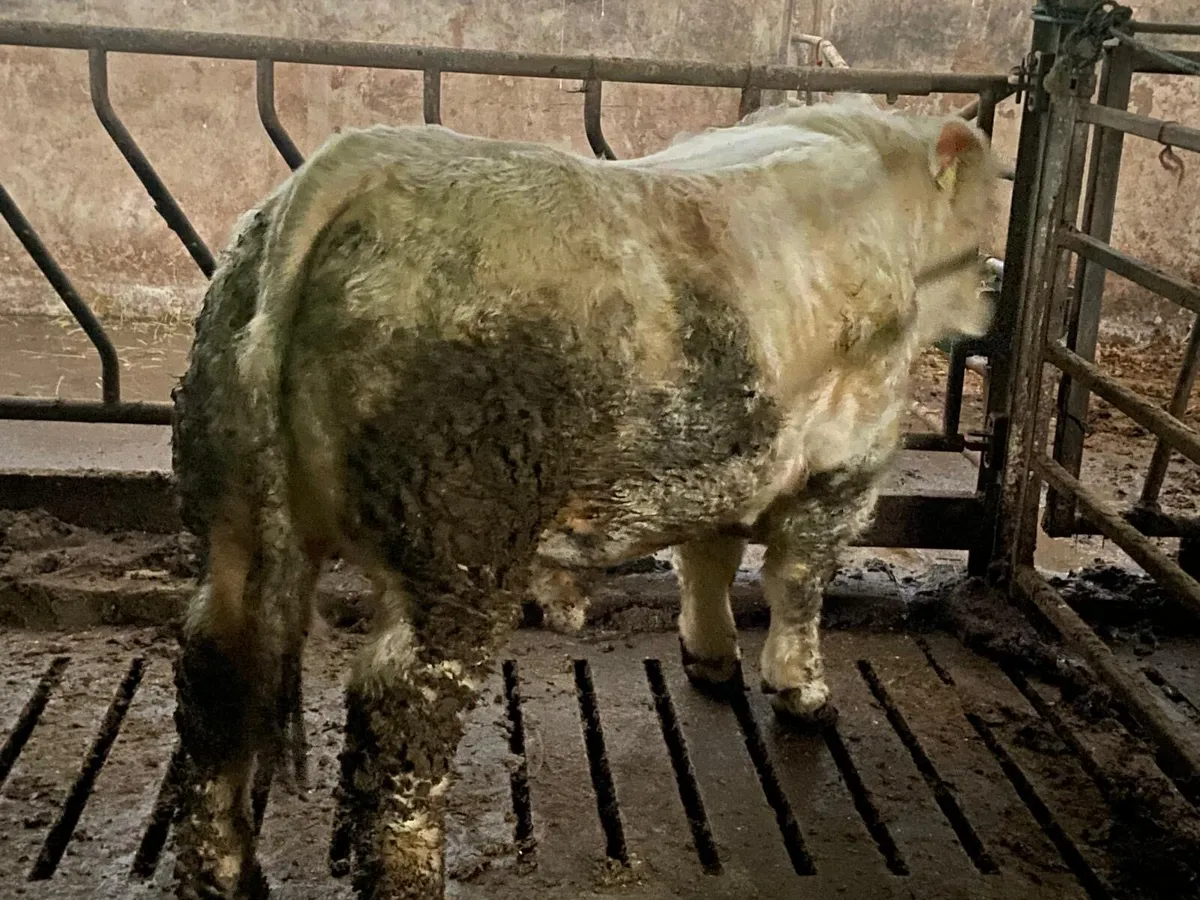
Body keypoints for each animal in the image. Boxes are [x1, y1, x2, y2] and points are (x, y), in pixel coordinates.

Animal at [169, 94, 999, 899]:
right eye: (987, 199)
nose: (993, 292)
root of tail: (360, 163)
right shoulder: (846, 461)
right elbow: (796, 583)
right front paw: (803, 694)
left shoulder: (728, 453)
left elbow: (710, 554)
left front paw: (711, 658)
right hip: (458, 547)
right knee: (401, 707)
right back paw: (407, 876)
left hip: (233, 514)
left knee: (218, 668)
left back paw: (224, 874)